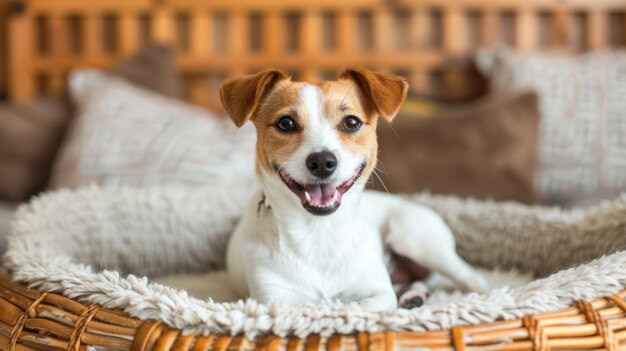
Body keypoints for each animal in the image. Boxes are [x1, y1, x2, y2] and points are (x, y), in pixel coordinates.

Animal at [219, 66, 488, 310]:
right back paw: (415, 296)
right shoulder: (272, 300)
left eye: (351, 122)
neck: (319, 232)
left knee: (470, 276)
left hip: (414, 238)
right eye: (286, 123)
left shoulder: (379, 293)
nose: (322, 162)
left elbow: (359, 307)